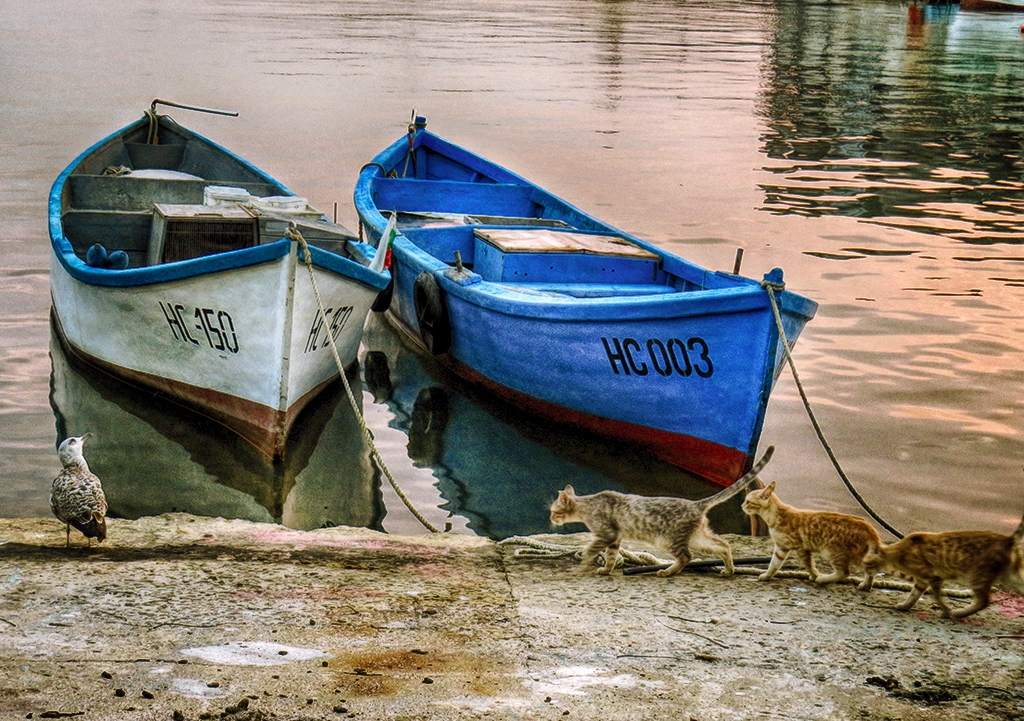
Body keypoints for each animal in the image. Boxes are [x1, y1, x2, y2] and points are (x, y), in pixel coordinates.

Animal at [548, 448, 770, 577]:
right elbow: (611, 556)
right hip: (698, 537)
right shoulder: (615, 538)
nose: (550, 518)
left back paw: (668, 572)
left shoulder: (607, 534)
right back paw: (729, 570)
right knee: (723, 545)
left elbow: (590, 550)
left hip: (669, 540)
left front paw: (583, 565)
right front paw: (605, 570)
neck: (588, 505)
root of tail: (696, 504)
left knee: (687, 557)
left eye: (553, 511)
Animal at [745, 481, 880, 589]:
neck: (773, 516)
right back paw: (866, 586)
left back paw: (823, 579)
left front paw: (816, 576)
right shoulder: (781, 548)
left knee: (845, 572)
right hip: (859, 555)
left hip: (833, 551)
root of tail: (868, 526)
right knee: (871, 569)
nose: (742, 506)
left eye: (748, 501)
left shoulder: (800, 548)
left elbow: (808, 565)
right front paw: (768, 576)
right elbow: (774, 564)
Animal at [864, 510, 1024, 618]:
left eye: (865, 564)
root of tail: (1007, 540)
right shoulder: (922, 581)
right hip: (1009, 577)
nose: (864, 570)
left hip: (978, 576)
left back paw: (958, 613)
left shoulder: (933, 578)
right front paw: (905, 605)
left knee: (983, 601)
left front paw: (946, 611)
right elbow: (913, 595)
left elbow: (937, 598)